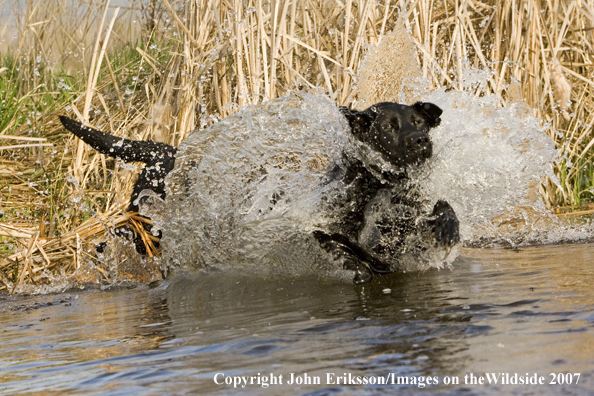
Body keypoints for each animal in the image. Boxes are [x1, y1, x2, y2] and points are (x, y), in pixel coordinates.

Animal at [60, 100, 458, 284]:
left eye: (419, 123)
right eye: (389, 127)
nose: (421, 141)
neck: (377, 187)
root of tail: (168, 153)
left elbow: (443, 209)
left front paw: (447, 229)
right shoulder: (308, 226)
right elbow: (342, 249)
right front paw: (358, 268)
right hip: (151, 231)